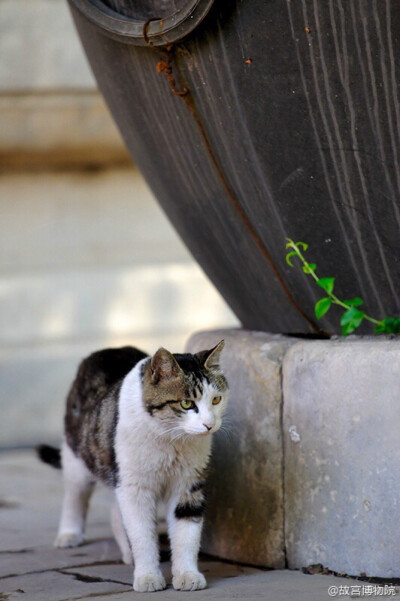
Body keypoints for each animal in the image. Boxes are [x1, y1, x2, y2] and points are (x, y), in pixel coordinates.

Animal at [39, 340, 230, 592]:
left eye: (216, 400)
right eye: (187, 403)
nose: (209, 424)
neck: (169, 439)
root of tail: (110, 349)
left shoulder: (189, 484)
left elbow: (187, 534)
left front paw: (187, 575)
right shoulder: (134, 487)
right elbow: (141, 534)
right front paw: (148, 577)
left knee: (115, 511)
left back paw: (126, 553)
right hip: (78, 457)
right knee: (75, 495)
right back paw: (69, 535)